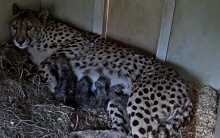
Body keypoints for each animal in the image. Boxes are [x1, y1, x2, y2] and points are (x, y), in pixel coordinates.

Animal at [10, 3, 192, 137]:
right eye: (14, 26)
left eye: (29, 27)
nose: (19, 41)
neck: (36, 40)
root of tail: (186, 89)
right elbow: (32, 65)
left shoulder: (79, 42)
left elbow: (46, 62)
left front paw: (54, 83)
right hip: (114, 96)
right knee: (122, 130)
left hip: (139, 98)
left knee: (142, 134)